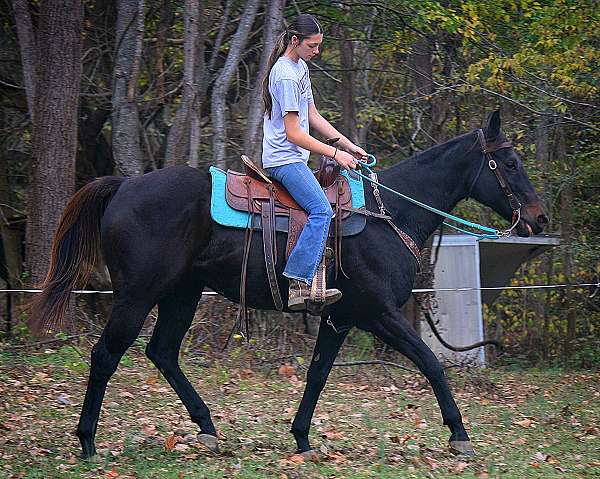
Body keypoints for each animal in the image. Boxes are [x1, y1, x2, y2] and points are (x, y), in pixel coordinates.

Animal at [29, 110, 548, 460]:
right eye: (509, 163)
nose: (539, 219)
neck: (391, 214)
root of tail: (123, 185)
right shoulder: (378, 313)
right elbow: (431, 364)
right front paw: (459, 434)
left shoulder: (340, 317)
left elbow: (317, 374)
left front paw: (301, 437)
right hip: (137, 296)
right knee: (106, 355)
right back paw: (88, 442)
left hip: (183, 294)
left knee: (162, 352)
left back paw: (208, 427)